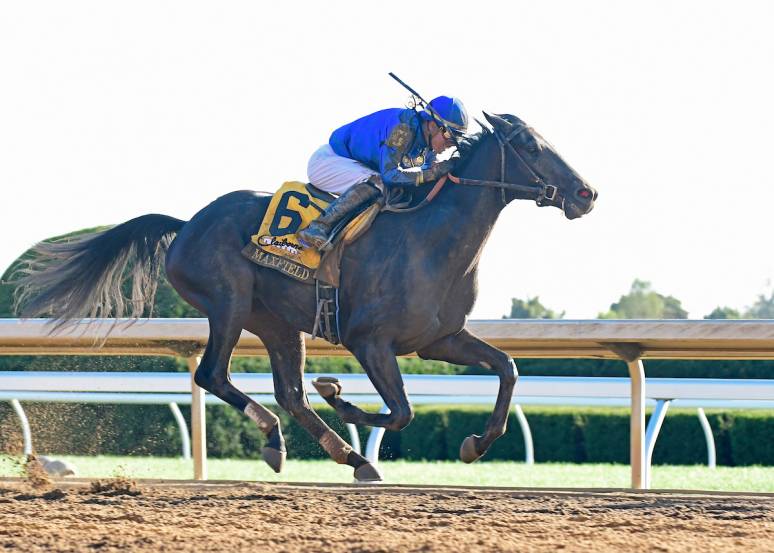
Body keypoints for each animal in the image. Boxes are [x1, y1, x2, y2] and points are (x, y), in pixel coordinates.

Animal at [16, 112, 600, 478]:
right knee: (213, 376)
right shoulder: (369, 341)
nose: (586, 193)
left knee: (290, 394)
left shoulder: (440, 340)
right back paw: (283, 438)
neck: (430, 239)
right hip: (229, 302)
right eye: (530, 146)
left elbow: (508, 369)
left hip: (277, 323)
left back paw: (346, 457)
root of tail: (185, 225)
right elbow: (401, 412)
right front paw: (340, 395)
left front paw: (475, 444)